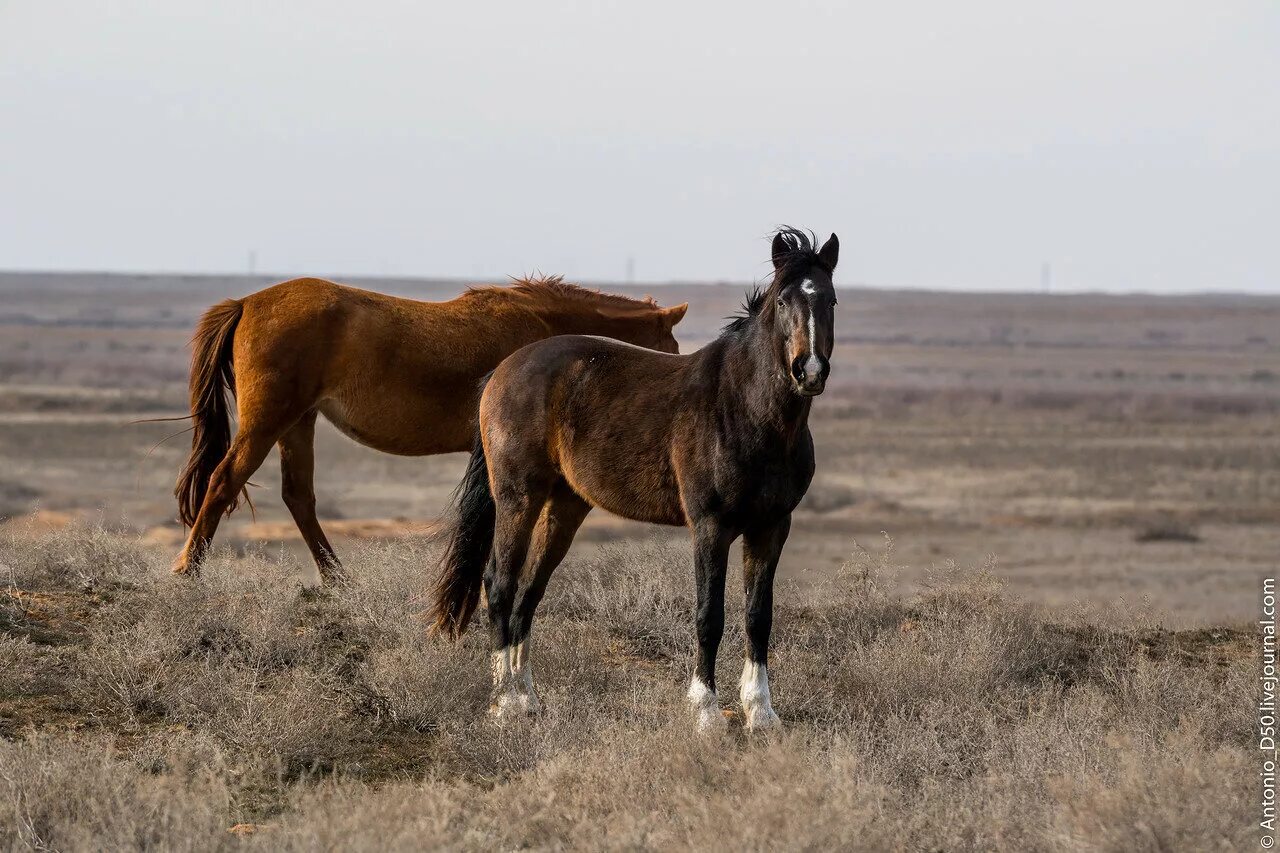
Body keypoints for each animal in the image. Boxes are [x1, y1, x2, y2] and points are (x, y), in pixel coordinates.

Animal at [177, 275, 691, 581]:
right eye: (671, 346)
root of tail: (247, 302)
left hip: (297, 423)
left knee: (298, 497)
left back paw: (339, 582)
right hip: (268, 422)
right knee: (223, 482)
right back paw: (188, 572)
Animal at [430, 227, 839, 732]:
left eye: (831, 300)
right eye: (783, 301)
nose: (810, 370)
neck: (746, 409)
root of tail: (501, 372)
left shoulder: (771, 527)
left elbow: (758, 617)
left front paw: (761, 713)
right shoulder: (711, 527)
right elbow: (709, 615)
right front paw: (706, 712)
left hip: (564, 506)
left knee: (529, 592)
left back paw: (527, 700)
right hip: (517, 499)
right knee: (500, 584)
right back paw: (504, 702)